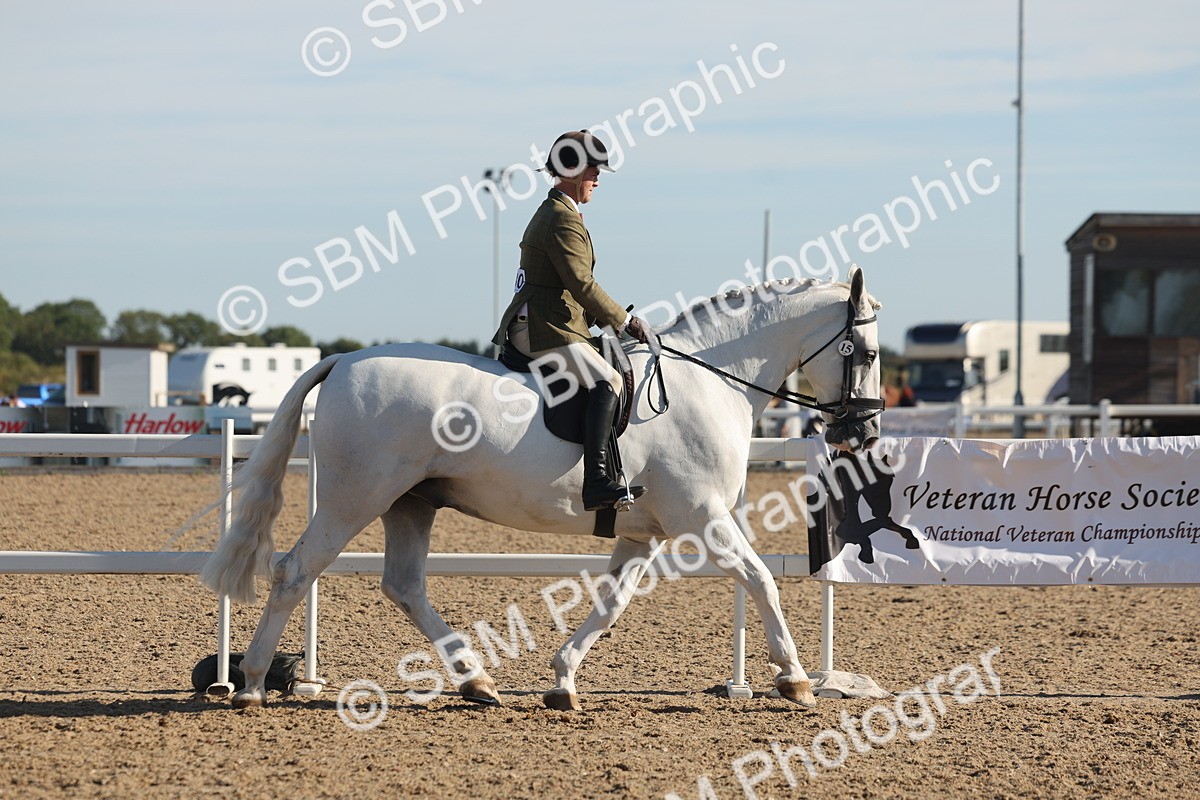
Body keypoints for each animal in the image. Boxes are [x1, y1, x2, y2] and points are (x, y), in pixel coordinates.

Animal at [199, 266, 883, 711]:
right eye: (868, 352)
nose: (866, 431)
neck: (712, 381)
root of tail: (342, 360)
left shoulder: (645, 533)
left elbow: (610, 606)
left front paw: (562, 681)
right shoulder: (703, 518)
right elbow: (761, 579)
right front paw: (794, 679)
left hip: (409, 503)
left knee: (404, 586)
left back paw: (476, 682)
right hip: (354, 498)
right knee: (295, 571)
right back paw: (253, 682)